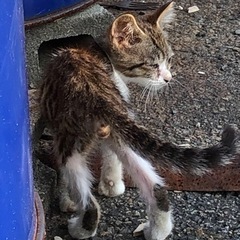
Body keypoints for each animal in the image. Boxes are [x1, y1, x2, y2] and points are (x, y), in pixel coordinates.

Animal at [40, 2, 237, 240]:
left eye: (168, 60)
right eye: (153, 65)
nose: (168, 78)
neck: (104, 58)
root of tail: (96, 91)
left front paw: (71, 197)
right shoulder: (120, 121)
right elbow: (112, 154)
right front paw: (112, 184)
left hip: (69, 141)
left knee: (88, 203)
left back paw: (79, 227)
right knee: (157, 187)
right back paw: (158, 230)